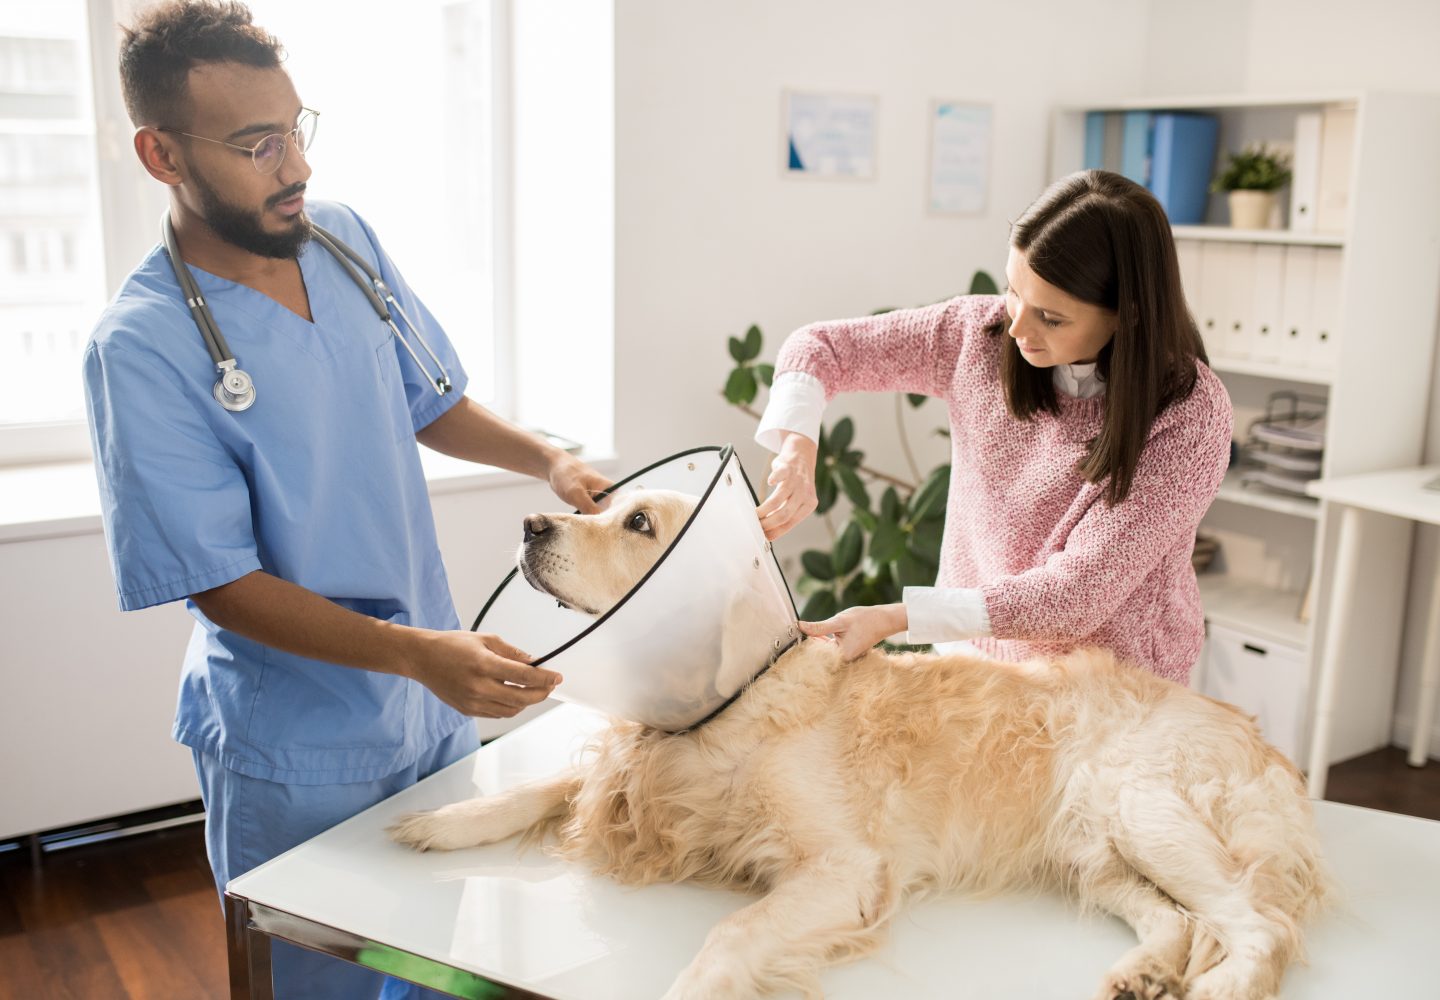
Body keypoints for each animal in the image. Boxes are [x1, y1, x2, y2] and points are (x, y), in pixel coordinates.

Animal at [388, 492, 1330, 1000]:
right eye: (596, 505)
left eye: (639, 521)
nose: (531, 522)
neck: (726, 703)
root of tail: (1269, 752)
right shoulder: (637, 768)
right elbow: (541, 787)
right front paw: (445, 821)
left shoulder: (844, 868)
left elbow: (731, 932)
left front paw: (693, 983)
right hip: (1092, 851)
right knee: (1177, 918)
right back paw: (1142, 972)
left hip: (1143, 808)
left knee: (1258, 923)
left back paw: (1225, 982)